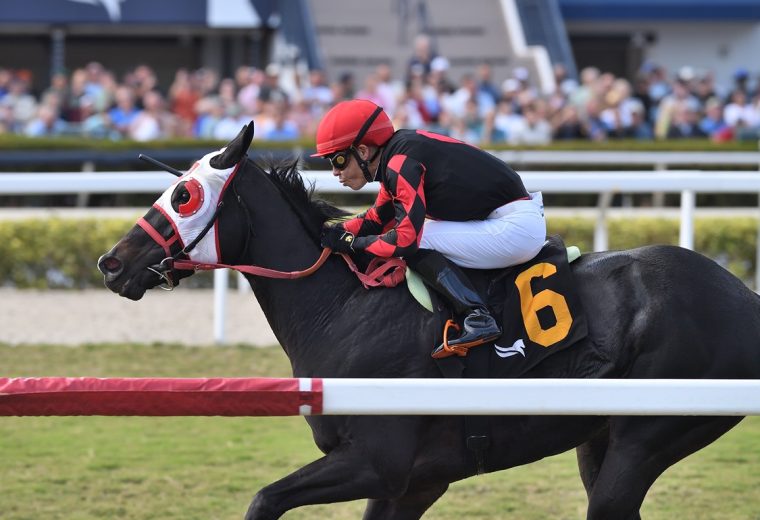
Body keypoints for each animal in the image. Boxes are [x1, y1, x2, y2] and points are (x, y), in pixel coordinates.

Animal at [98, 123, 760, 520]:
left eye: (184, 196)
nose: (112, 263)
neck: (344, 307)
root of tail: (742, 297)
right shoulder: (412, 481)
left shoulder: (377, 462)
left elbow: (263, 500)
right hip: (598, 440)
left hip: (646, 437)